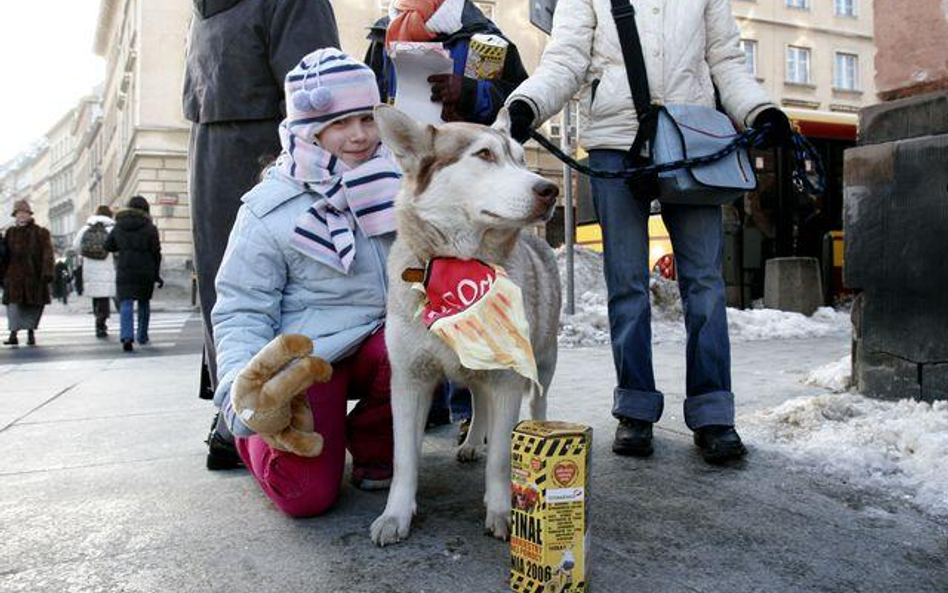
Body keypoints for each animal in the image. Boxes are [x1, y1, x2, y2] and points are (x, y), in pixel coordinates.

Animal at [370, 106, 564, 544]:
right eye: (485, 155)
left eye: (520, 159)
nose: (550, 190)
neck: (457, 272)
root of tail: (540, 241)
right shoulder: (409, 380)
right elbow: (404, 459)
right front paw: (396, 513)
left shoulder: (507, 381)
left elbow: (500, 462)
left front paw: (502, 511)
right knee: (477, 401)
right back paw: (473, 442)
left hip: (544, 361)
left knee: (538, 399)